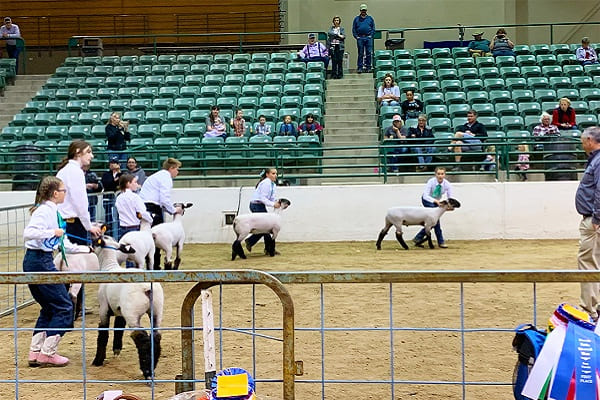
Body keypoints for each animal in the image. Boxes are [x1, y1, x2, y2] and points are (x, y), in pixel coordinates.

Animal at [90, 236, 164, 380]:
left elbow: (103, 333)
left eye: (97, 241)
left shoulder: (103, 308)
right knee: (155, 337)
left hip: (132, 313)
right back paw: (152, 368)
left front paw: (98, 360)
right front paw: (116, 349)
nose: (89, 245)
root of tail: (147, 288)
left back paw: (147, 371)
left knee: (141, 337)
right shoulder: (119, 310)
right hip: (157, 311)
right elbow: (118, 327)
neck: (109, 267)